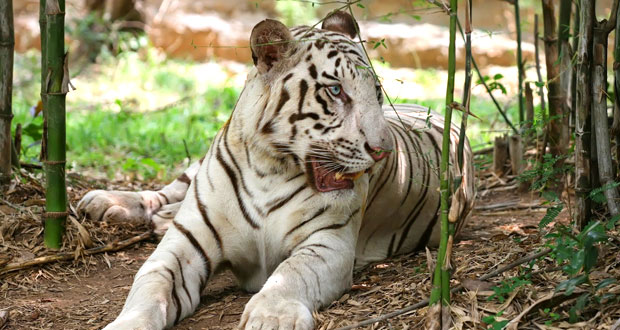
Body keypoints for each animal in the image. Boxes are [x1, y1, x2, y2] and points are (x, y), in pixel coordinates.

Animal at [77, 11, 474, 328]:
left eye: (376, 92)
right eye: (336, 91)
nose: (383, 151)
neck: (269, 169)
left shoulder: (328, 243)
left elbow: (290, 274)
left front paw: (273, 317)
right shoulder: (184, 245)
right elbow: (149, 287)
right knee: (169, 189)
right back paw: (109, 203)